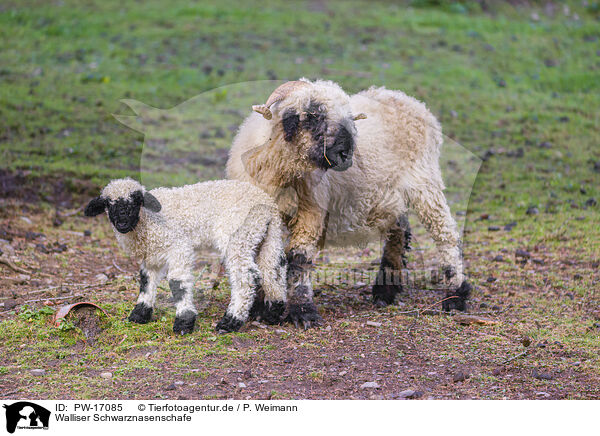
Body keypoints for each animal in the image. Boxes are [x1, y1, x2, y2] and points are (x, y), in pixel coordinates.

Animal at [84, 177, 288, 334]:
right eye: (108, 204)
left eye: (136, 200)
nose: (122, 222)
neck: (147, 222)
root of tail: (267, 203)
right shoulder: (152, 256)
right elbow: (146, 281)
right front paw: (139, 314)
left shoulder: (179, 246)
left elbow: (177, 282)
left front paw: (184, 322)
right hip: (267, 235)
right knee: (274, 268)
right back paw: (273, 312)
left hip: (239, 236)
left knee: (246, 277)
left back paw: (230, 322)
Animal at [226, 77, 474, 328]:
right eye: (312, 115)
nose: (345, 153)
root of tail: (408, 99)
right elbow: (262, 258)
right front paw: (261, 309)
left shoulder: (311, 211)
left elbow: (299, 258)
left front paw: (303, 312)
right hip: (390, 197)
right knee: (400, 231)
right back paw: (386, 291)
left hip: (425, 181)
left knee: (445, 234)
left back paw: (455, 296)